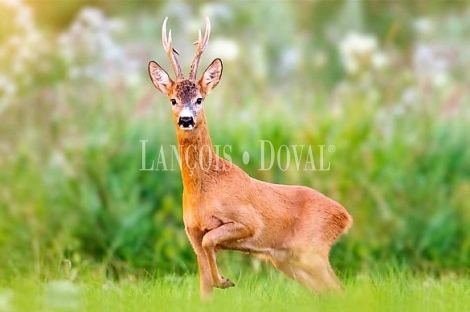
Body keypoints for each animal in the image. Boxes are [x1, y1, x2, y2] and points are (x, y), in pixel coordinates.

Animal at [148, 17, 352, 300]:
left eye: (199, 99)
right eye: (173, 100)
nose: (186, 119)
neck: (205, 188)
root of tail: (345, 216)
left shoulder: (248, 221)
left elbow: (211, 242)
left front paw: (224, 280)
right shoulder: (192, 234)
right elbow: (204, 287)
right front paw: (218, 283)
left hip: (312, 250)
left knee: (339, 289)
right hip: (288, 260)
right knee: (329, 291)